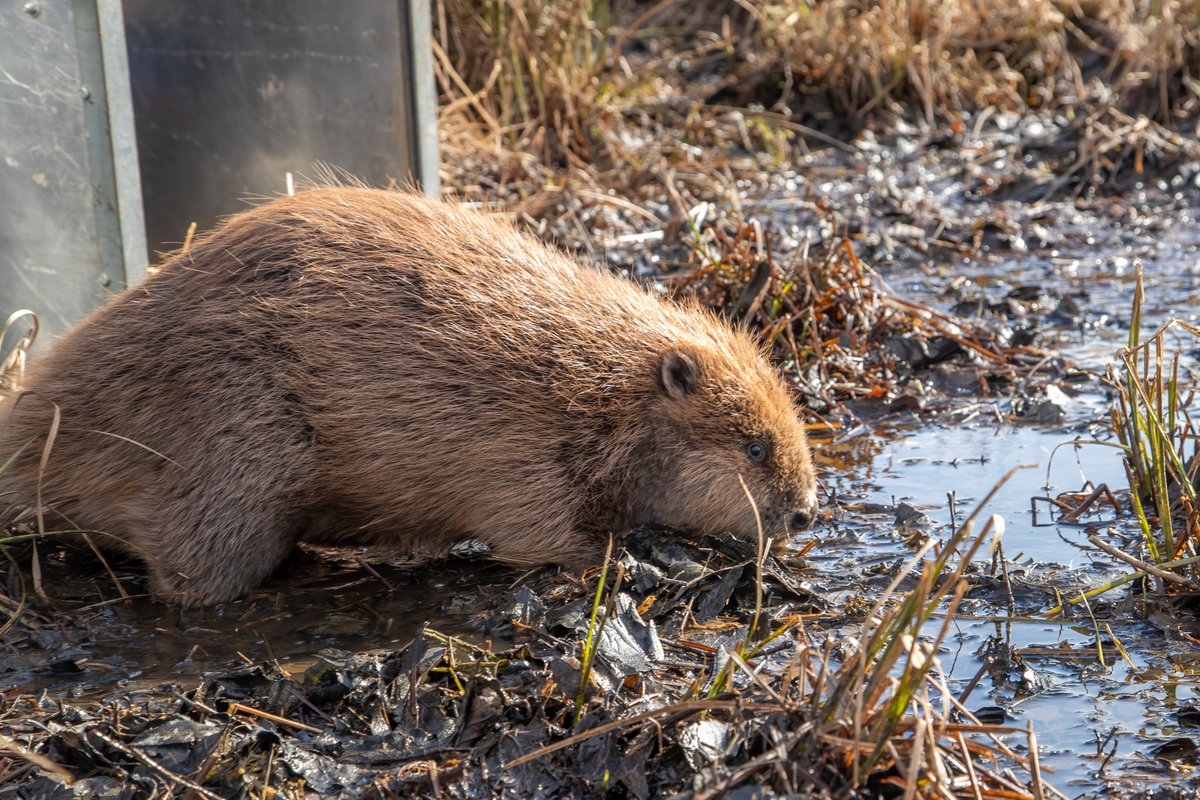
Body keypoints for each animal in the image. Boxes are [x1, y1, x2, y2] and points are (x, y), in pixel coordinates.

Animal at [0, 189, 816, 606]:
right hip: (229, 446)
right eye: (754, 446)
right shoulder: (520, 453)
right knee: (185, 579)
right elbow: (540, 535)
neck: (602, 384)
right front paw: (639, 560)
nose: (806, 512)